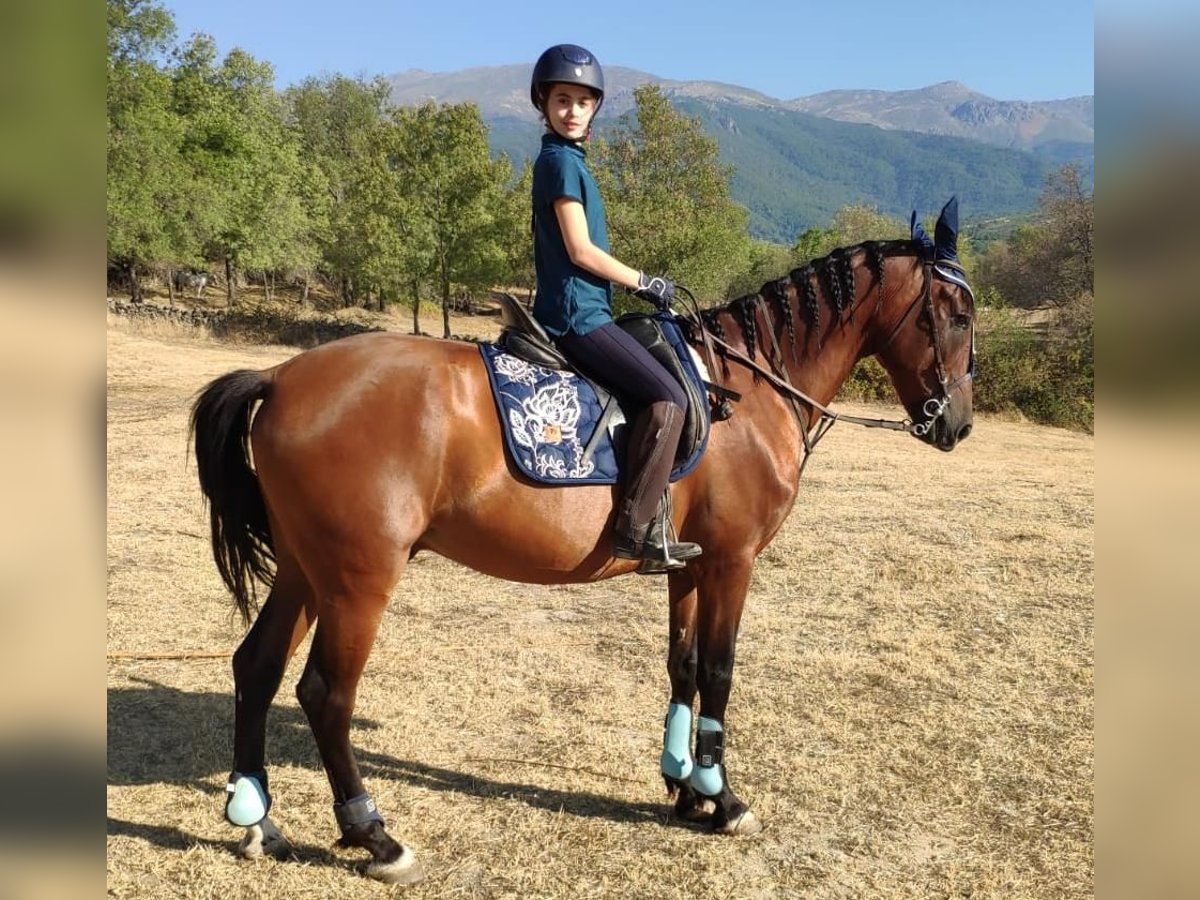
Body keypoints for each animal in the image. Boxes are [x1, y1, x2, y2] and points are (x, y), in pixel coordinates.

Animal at [190, 199, 975, 884]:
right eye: (958, 314)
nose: (957, 424)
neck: (746, 392)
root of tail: (281, 377)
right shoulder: (733, 561)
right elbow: (721, 671)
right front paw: (722, 797)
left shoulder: (688, 566)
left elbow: (684, 665)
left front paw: (683, 785)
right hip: (358, 579)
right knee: (325, 693)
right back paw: (374, 835)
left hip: (305, 568)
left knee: (256, 665)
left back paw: (255, 818)